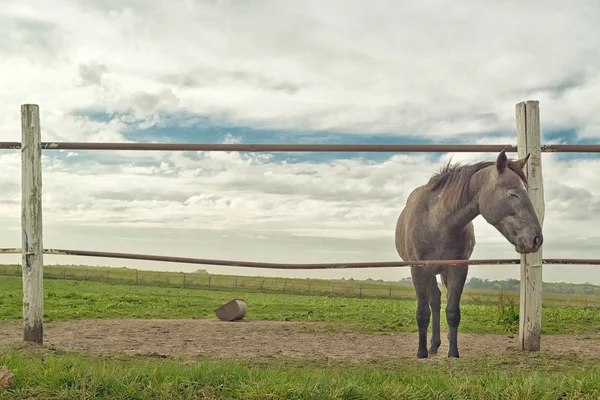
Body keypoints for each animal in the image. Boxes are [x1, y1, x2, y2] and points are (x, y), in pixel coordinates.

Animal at [396, 151, 540, 360]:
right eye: (513, 193)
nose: (536, 239)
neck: (438, 222)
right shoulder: (419, 270)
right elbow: (422, 312)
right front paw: (421, 353)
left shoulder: (458, 269)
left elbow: (452, 312)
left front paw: (453, 353)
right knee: (433, 301)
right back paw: (430, 347)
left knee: (438, 300)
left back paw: (435, 345)